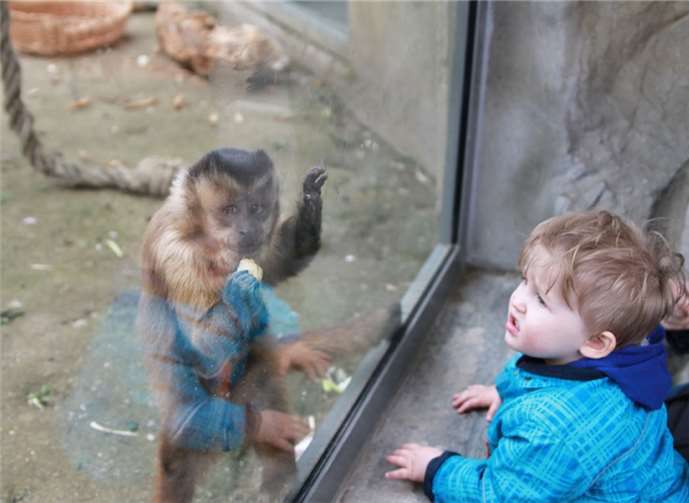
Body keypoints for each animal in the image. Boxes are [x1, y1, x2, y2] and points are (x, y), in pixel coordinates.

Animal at [138, 148, 399, 503]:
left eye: (256, 209)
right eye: (230, 210)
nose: (247, 230)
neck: (204, 239)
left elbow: (275, 266)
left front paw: (310, 206)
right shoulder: (176, 251)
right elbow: (204, 347)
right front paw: (237, 295)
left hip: (250, 382)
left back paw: (279, 474)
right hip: (198, 413)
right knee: (178, 458)